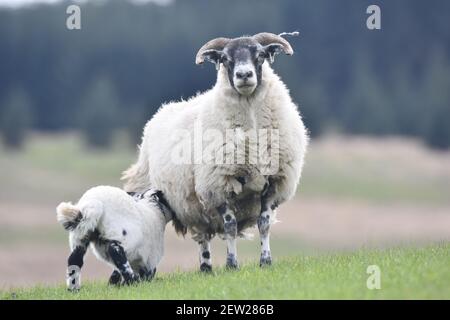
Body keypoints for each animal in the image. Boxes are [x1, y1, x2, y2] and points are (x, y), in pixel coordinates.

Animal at [121, 31, 308, 272]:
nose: (244, 74)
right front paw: (232, 264)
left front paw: (265, 261)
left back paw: (207, 269)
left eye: (260, 55)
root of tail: (163, 109)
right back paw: (204, 267)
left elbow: (264, 224)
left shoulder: (272, 183)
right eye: (225, 59)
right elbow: (230, 227)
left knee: (203, 232)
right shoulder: (217, 186)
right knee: (201, 235)